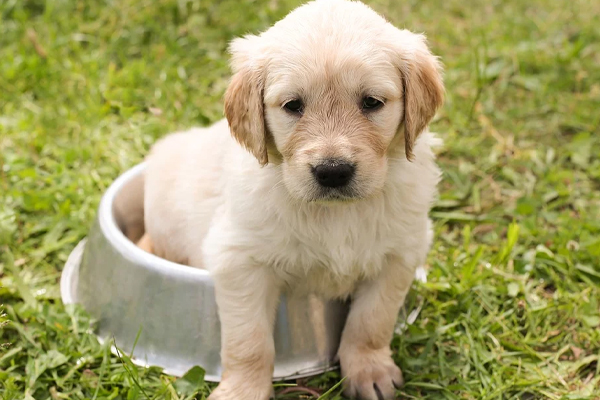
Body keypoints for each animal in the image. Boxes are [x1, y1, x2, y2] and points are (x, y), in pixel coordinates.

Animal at [139, 0, 440, 398]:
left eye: (372, 102)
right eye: (293, 105)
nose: (333, 171)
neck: (334, 214)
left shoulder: (400, 254)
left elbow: (371, 321)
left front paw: (369, 371)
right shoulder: (239, 260)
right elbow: (249, 342)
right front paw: (243, 390)